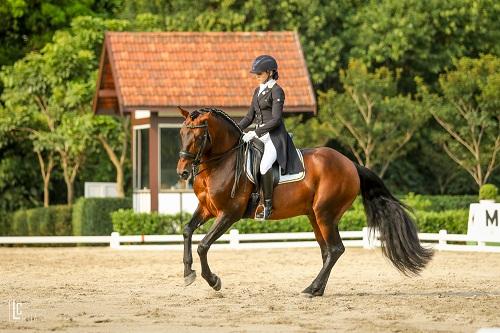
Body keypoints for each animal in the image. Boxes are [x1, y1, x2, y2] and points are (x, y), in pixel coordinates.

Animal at [177, 106, 434, 296]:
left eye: (198, 136)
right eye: (181, 133)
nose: (183, 172)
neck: (222, 162)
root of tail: (350, 163)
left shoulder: (229, 213)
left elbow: (203, 245)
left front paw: (213, 280)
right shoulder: (207, 208)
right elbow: (187, 231)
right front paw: (188, 273)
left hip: (325, 214)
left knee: (335, 249)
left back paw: (312, 288)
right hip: (315, 216)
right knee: (327, 251)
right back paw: (317, 289)